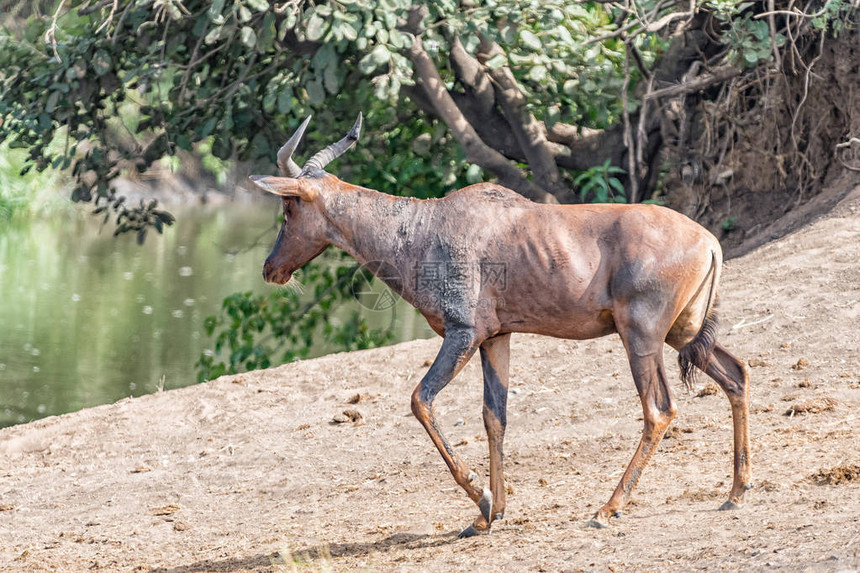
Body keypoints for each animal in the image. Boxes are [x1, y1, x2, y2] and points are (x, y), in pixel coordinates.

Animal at [250, 115, 752, 536]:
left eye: (290, 208)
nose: (271, 269)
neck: (428, 225)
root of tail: (708, 242)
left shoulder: (464, 334)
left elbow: (420, 401)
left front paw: (483, 499)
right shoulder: (497, 338)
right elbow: (495, 417)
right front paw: (489, 516)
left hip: (641, 336)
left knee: (659, 409)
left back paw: (608, 509)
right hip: (683, 333)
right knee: (736, 375)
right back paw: (735, 492)